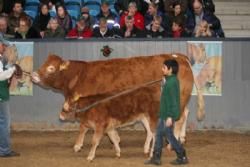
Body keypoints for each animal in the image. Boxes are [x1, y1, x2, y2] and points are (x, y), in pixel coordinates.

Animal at [31, 53, 205, 160]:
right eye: (44, 64)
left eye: (51, 68)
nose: (33, 75)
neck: (80, 75)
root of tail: (178, 56)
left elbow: (86, 128)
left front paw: (79, 146)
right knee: (183, 114)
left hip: (177, 99)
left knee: (179, 118)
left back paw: (171, 143)